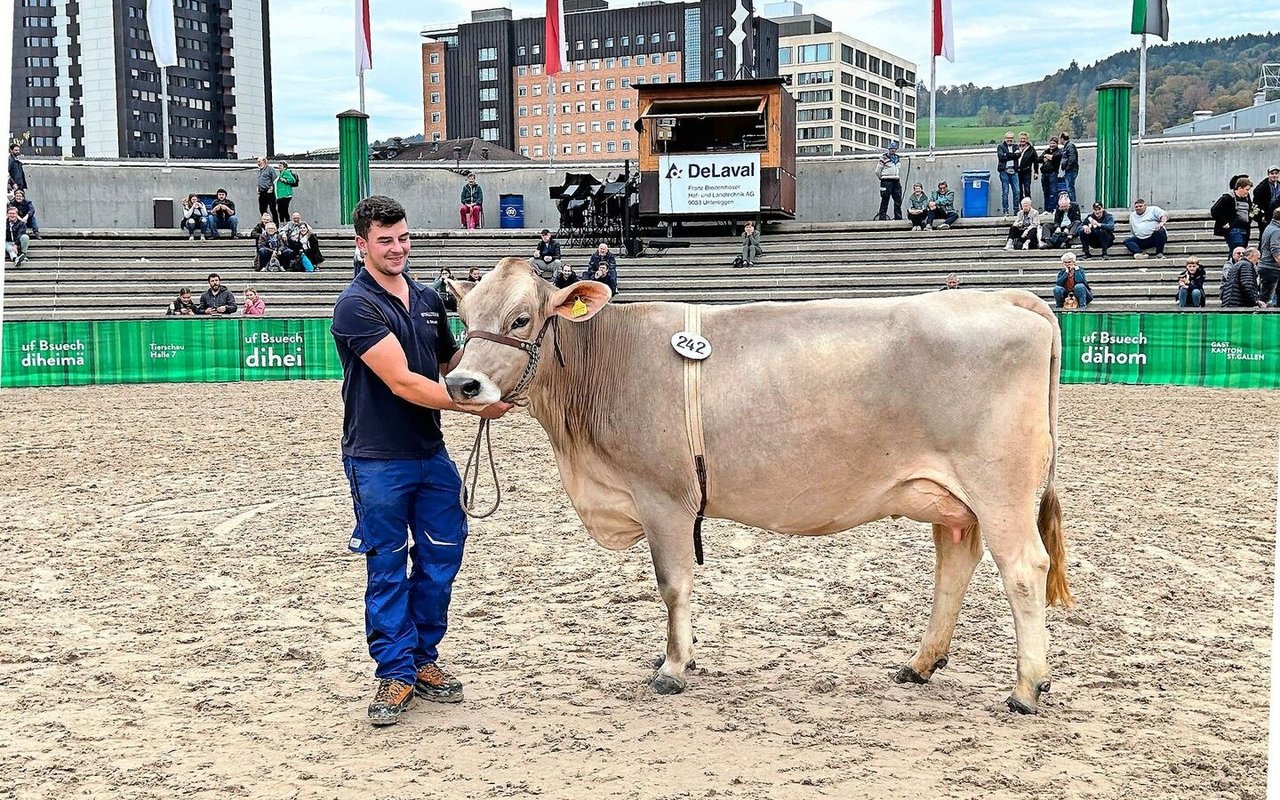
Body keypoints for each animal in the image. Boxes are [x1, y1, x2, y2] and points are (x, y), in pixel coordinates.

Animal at [448, 258, 1070, 716]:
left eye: (521, 319)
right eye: (464, 312)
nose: (460, 383)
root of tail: (1006, 298)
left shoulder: (664, 499)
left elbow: (673, 585)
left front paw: (672, 669)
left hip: (1000, 489)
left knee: (1023, 570)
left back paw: (1026, 689)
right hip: (952, 500)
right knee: (955, 566)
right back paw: (920, 664)